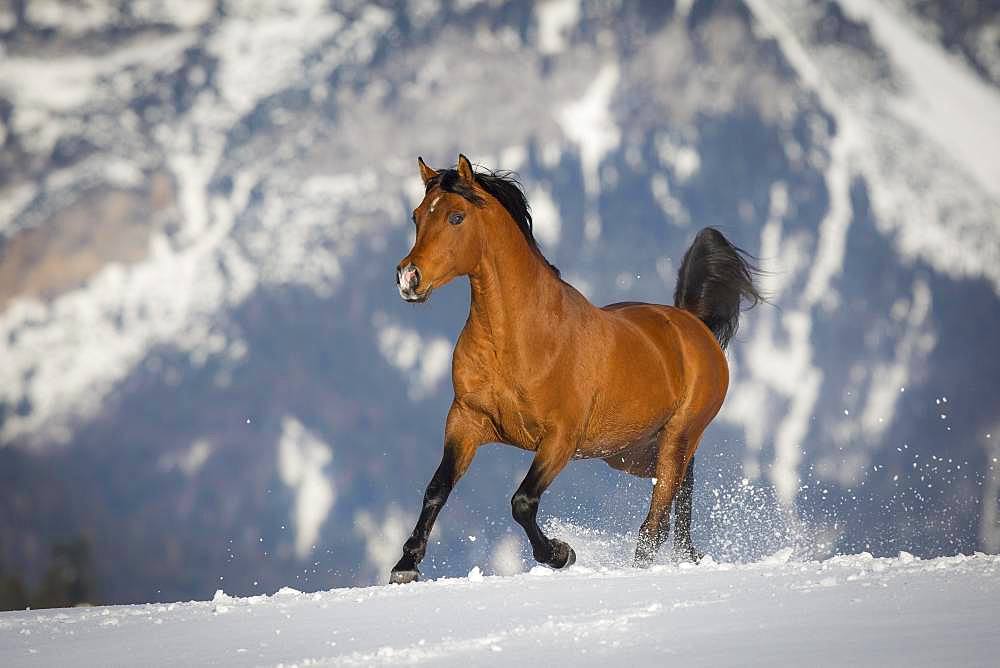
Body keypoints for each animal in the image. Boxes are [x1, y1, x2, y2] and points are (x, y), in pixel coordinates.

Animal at [388, 154, 756, 580]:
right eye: (416, 216)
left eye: (456, 217)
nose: (408, 278)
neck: (519, 342)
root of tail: (694, 325)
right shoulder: (466, 421)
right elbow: (437, 489)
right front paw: (405, 566)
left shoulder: (560, 438)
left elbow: (522, 501)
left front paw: (560, 553)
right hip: (632, 452)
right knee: (679, 501)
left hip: (677, 438)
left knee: (657, 520)